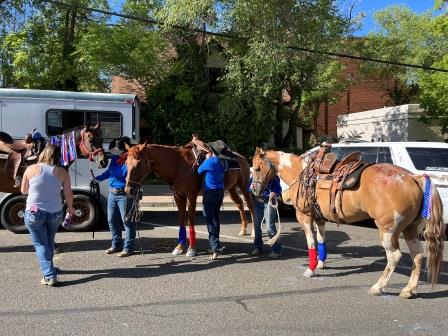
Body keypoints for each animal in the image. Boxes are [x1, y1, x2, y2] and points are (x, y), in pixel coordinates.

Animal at [125, 142, 256, 258]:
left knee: (250, 206)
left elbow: (190, 220)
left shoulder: (191, 196)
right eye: (126, 163)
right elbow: (181, 220)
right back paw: (243, 229)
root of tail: (241, 157)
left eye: (138, 162)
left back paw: (254, 231)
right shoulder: (178, 196)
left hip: (244, 187)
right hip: (231, 188)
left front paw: (191, 249)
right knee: (239, 203)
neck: (179, 165)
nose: (128, 190)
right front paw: (179, 247)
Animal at [252, 148, 444, 300]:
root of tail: (413, 177)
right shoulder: (320, 218)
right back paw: (408, 290)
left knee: (394, 256)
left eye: (257, 168)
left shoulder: (304, 217)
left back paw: (378, 287)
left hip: (388, 230)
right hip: (410, 229)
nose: (254, 190)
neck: (300, 173)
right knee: (418, 255)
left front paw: (311, 269)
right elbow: (321, 241)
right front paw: (321, 263)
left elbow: (311, 244)